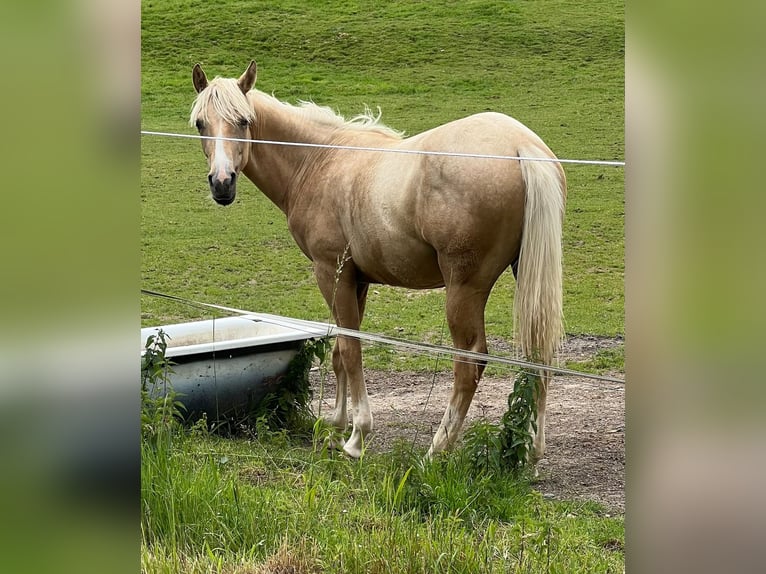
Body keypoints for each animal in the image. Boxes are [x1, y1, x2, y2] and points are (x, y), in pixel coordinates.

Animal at [190, 60, 566, 465]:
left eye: (243, 121)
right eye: (201, 123)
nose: (222, 183)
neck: (318, 158)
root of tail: (521, 146)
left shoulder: (330, 273)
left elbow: (351, 350)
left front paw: (356, 436)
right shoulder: (357, 280)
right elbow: (340, 350)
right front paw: (336, 427)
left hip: (464, 290)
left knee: (470, 364)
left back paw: (435, 450)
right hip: (526, 277)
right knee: (539, 351)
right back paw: (532, 453)